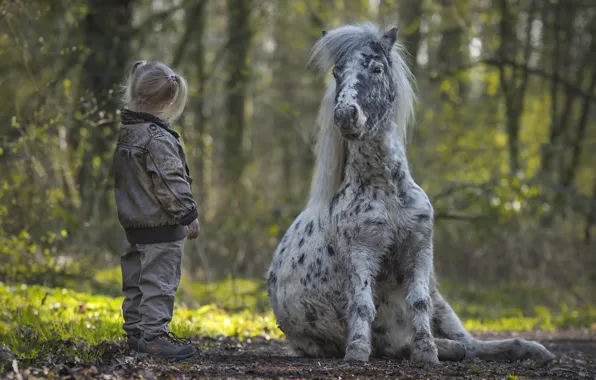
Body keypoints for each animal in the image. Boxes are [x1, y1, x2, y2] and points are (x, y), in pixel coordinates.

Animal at [266, 21, 556, 366]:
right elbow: (362, 305)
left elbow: (418, 302)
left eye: (377, 68)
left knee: (470, 343)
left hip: (441, 303)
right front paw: (358, 352)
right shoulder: (361, 253)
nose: (346, 115)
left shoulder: (419, 251)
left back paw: (533, 350)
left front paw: (427, 352)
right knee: (445, 346)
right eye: (337, 73)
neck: (386, 191)